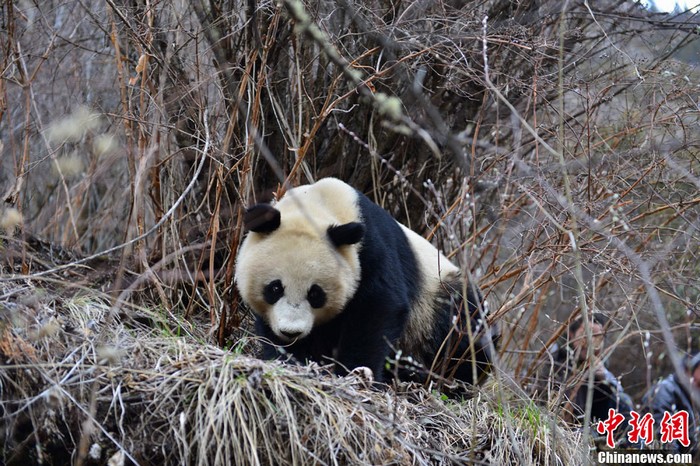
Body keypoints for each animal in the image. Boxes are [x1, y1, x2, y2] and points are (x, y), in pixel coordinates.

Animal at [234, 177, 492, 388]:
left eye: (315, 294)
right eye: (275, 288)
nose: (291, 331)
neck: (319, 203)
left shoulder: (369, 250)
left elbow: (379, 306)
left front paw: (354, 372)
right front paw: (290, 359)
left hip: (435, 299)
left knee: (463, 327)